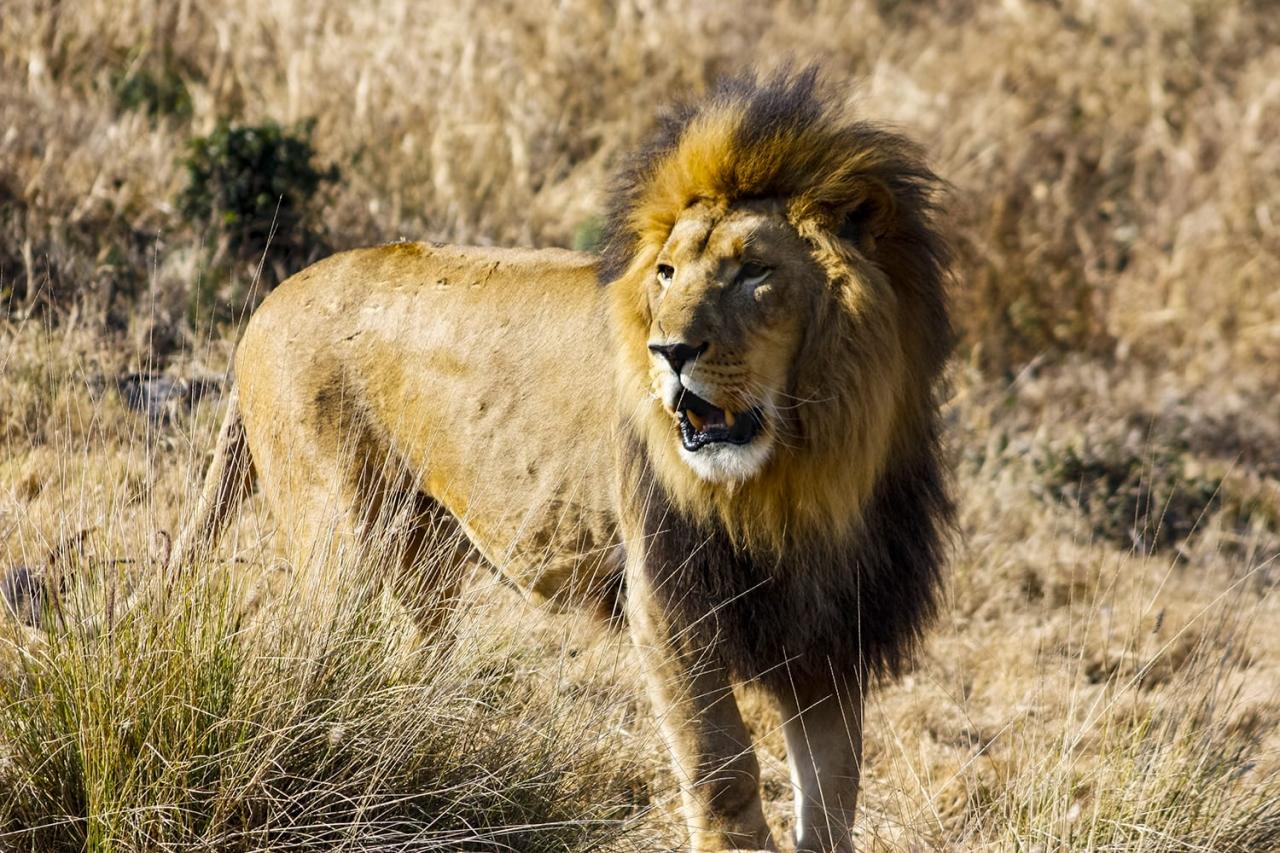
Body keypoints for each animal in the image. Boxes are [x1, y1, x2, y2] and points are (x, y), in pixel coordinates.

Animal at [165, 69, 957, 845]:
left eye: (754, 271)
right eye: (666, 273)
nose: (668, 352)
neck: (800, 474)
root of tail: (268, 304)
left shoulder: (835, 623)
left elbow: (833, 796)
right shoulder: (668, 601)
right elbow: (723, 777)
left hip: (425, 555)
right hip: (343, 541)